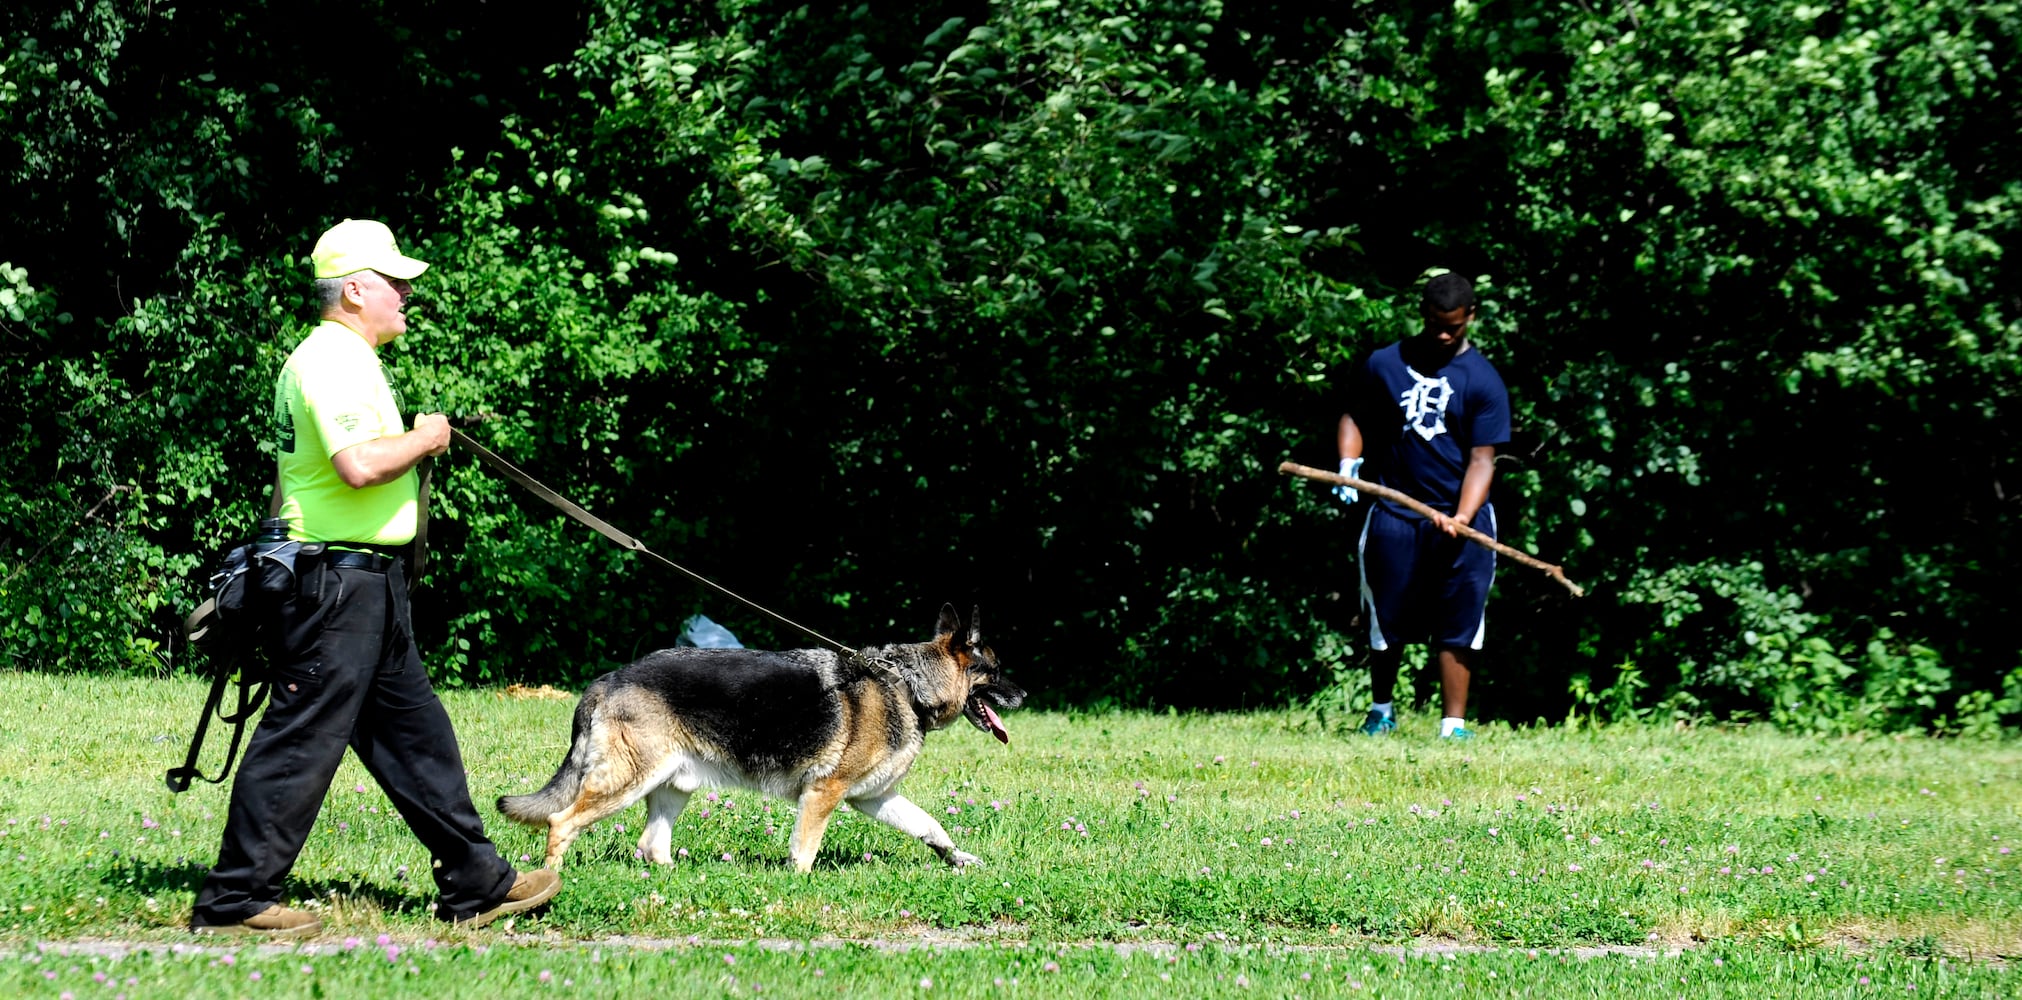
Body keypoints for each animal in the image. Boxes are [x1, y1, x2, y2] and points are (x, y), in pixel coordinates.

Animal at [497, 606, 1019, 872]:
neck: (908, 685)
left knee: (651, 843)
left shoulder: (874, 798)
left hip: (672, 786)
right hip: (626, 783)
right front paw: (798, 887)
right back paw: (549, 880)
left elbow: (932, 827)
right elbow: (804, 851)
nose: (1024, 694)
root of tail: (608, 679)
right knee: (562, 821)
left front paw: (958, 858)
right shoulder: (823, 794)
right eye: (995, 672)